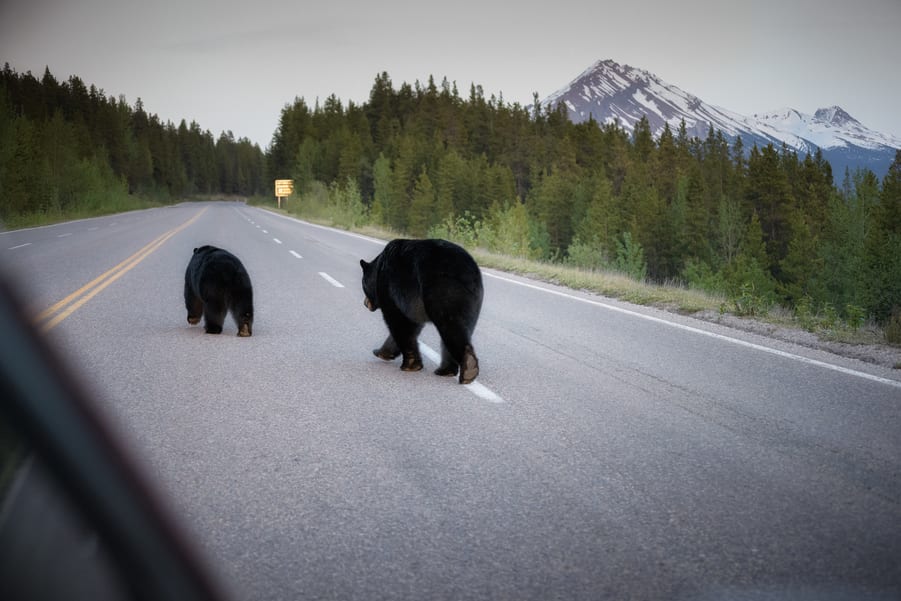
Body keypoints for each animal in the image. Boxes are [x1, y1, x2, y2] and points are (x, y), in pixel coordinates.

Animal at [360, 237, 482, 382]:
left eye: (363, 285)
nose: (365, 303)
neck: (379, 269)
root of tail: (467, 271)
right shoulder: (413, 304)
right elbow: (412, 326)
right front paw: (381, 352)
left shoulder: (392, 291)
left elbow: (398, 323)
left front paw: (410, 364)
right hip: (473, 303)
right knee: (461, 329)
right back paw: (447, 370)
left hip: (443, 291)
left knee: (451, 328)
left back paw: (468, 367)